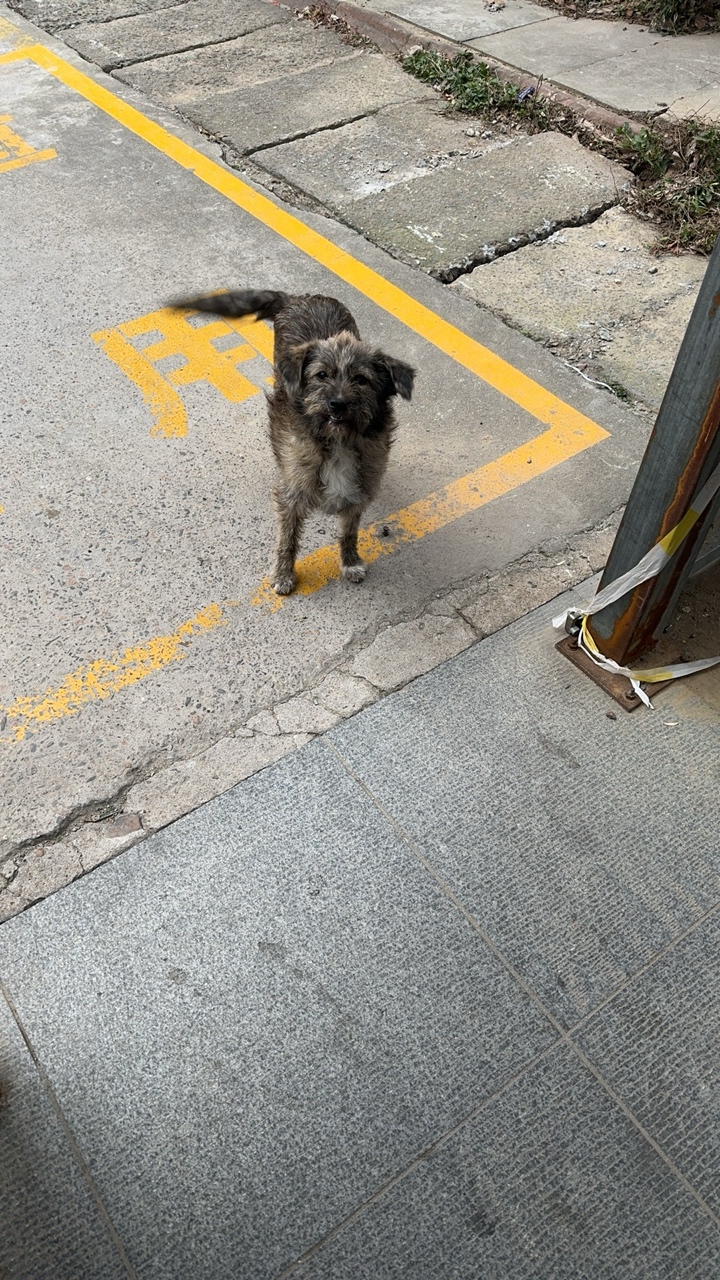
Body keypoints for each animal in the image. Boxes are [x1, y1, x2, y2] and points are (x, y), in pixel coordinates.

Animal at [170, 289, 415, 595]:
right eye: (321, 375)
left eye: (361, 380)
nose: (337, 404)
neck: (337, 442)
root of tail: (300, 297)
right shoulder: (291, 495)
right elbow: (287, 540)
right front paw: (284, 575)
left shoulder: (358, 492)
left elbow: (348, 532)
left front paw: (350, 562)